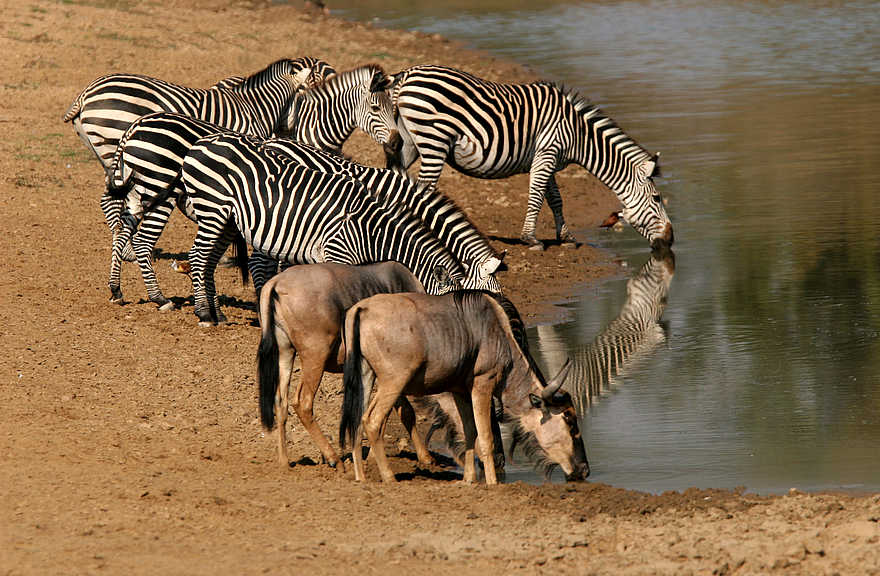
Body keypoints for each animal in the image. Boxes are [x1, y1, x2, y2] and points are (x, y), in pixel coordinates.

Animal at [63, 56, 336, 255]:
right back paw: (128, 250)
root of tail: (86, 92)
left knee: (111, 200)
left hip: (110, 156)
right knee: (117, 201)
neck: (256, 107)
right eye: (310, 93)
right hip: (117, 148)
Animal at [179, 132, 472, 325]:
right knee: (198, 257)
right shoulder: (338, 253)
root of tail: (203, 142)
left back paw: (217, 313)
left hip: (227, 220)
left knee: (209, 261)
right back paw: (204, 313)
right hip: (212, 210)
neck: (373, 230)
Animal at [385, 65, 674, 250]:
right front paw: (530, 239)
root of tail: (406, 75)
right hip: (433, 142)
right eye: (657, 198)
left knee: (396, 177)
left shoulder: (550, 159)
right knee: (424, 188)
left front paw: (565, 237)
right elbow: (536, 196)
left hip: (407, 143)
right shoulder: (547, 153)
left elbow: (555, 199)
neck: (578, 134)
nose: (671, 240)